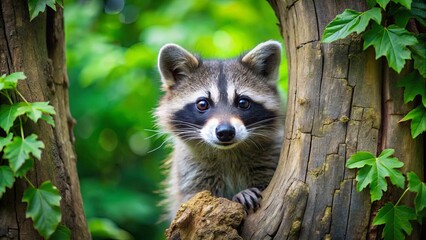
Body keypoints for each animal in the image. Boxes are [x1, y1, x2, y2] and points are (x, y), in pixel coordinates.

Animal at [156, 40, 282, 220]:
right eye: (202, 104)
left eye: (243, 103)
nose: (225, 132)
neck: (227, 152)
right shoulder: (191, 171)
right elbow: (193, 198)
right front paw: (237, 196)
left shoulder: (270, 155)